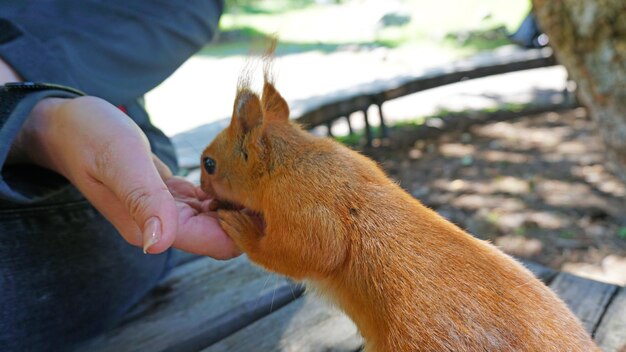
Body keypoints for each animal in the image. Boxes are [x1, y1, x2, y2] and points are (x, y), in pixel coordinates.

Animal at [201, 47, 600, 352]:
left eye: (208, 164)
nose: (202, 189)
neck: (296, 159)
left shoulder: (303, 204)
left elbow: (311, 250)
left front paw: (242, 228)